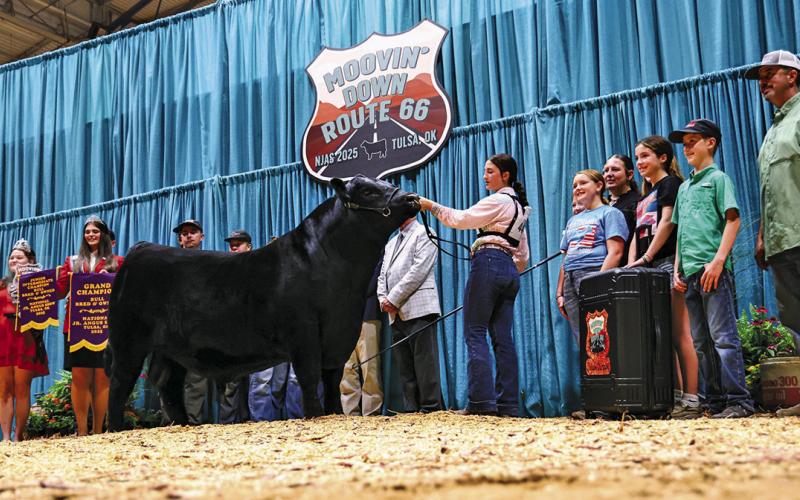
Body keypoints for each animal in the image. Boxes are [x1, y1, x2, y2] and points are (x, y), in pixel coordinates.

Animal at [105, 176, 420, 431]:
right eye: (367, 191)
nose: (412, 198)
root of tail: (142, 248)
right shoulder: (303, 332)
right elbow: (309, 376)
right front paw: (316, 414)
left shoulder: (340, 333)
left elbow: (331, 379)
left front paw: (334, 413)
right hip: (128, 340)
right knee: (120, 382)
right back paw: (115, 428)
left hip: (170, 349)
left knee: (169, 386)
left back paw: (184, 424)